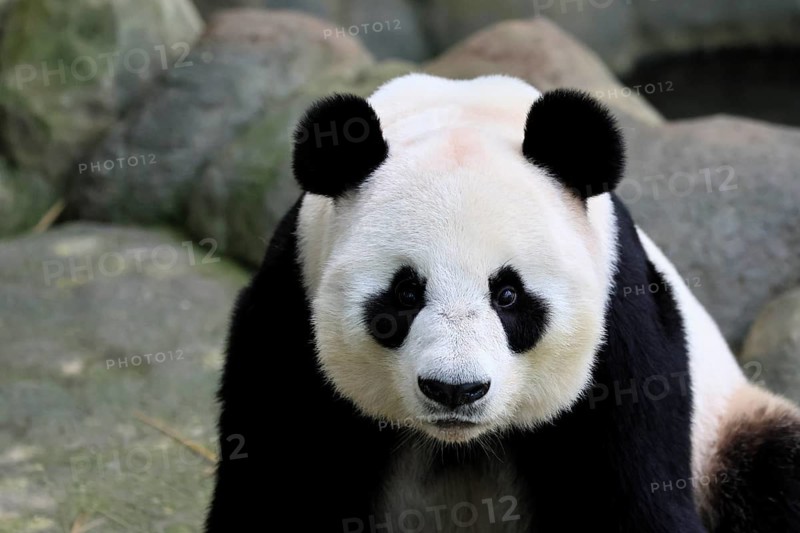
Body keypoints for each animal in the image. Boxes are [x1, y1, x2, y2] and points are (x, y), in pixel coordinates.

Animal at [205, 74, 800, 533]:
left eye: (508, 295)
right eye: (405, 294)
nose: (454, 389)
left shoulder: (624, 329)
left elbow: (634, 497)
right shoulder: (289, 310)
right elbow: (276, 487)